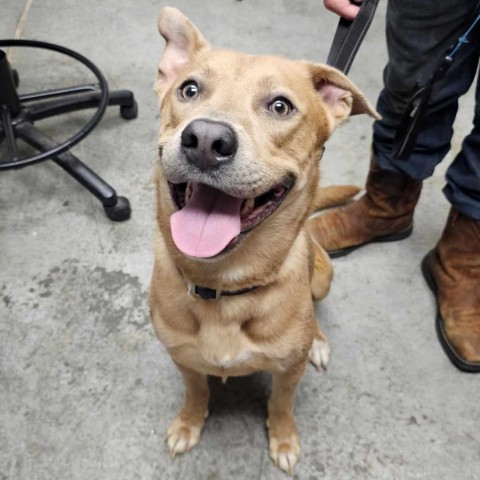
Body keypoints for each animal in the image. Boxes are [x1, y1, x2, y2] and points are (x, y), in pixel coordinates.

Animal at [150, 8, 378, 476]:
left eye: (280, 106)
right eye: (189, 89)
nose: (206, 140)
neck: (223, 286)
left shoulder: (288, 373)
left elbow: (280, 405)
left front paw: (284, 440)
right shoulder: (183, 359)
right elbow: (196, 392)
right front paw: (188, 423)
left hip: (322, 278)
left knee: (316, 314)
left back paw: (319, 341)